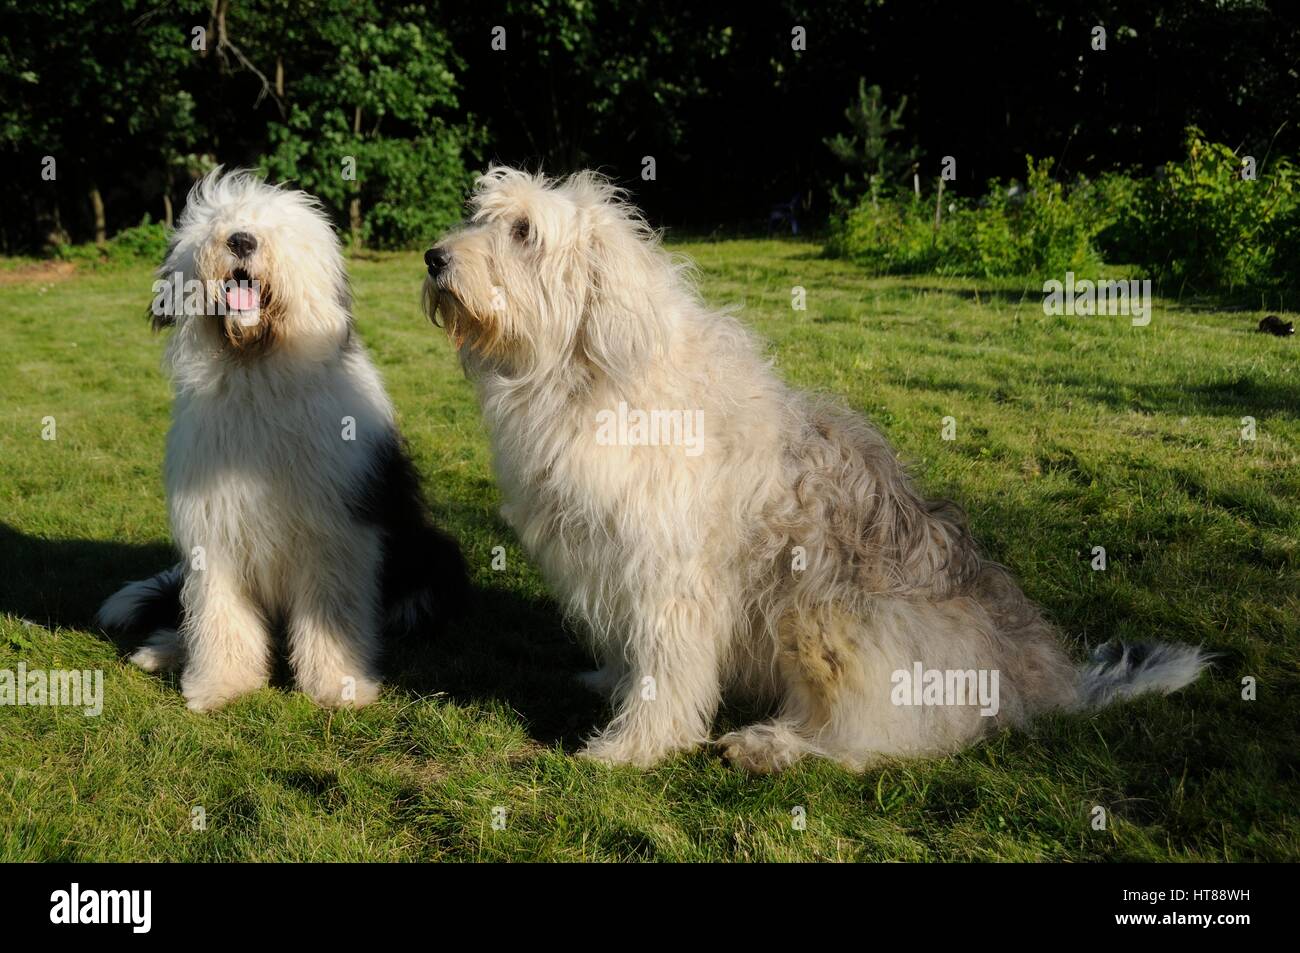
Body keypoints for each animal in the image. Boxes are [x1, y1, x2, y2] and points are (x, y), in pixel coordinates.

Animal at [101, 169, 467, 707]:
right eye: (216, 221)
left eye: (276, 226)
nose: (241, 240)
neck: (257, 371)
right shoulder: (216, 528)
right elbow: (219, 614)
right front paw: (220, 685)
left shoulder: (335, 531)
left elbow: (332, 613)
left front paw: (339, 685)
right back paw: (163, 649)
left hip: (433, 552)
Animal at [423, 167, 1206, 769]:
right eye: (481, 214)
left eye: (523, 232)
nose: (432, 258)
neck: (588, 372)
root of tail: (1028, 666)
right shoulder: (611, 560)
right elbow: (629, 648)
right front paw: (609, 682)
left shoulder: (673, 575)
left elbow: (668, 668)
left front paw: (632, 748)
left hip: (826, 617)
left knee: (877, 738)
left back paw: (771, 745)